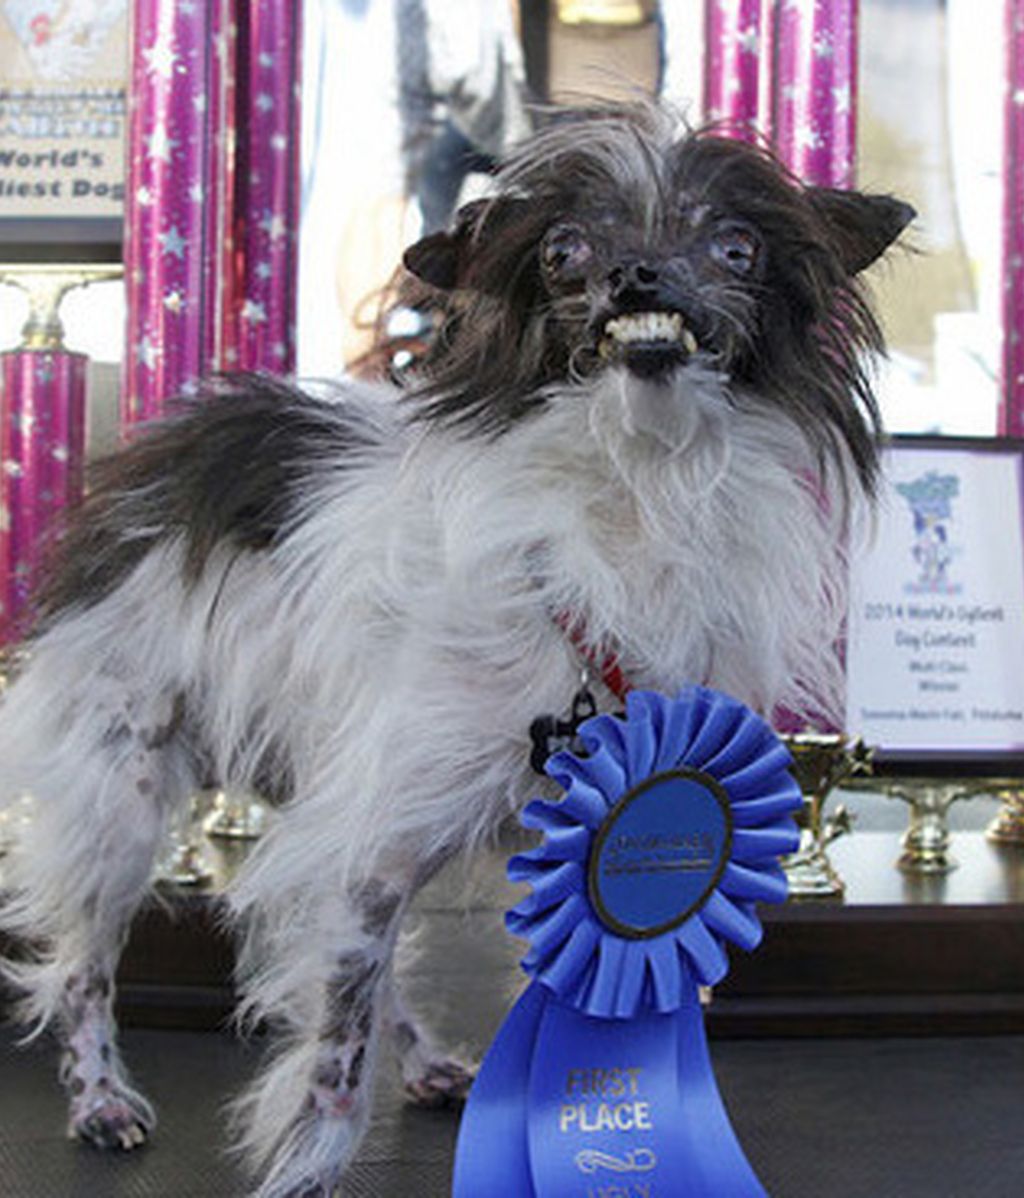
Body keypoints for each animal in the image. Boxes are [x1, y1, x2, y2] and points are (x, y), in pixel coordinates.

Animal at [0, 105, 915, 1198]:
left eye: (737, 246)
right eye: (563, 251)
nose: (638, 274)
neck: (633, 489)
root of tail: (156, 459)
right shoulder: (365, 844)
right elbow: (334, 1055)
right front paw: (305, 1168)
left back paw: (428, 1061)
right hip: (123, 796)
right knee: (84, 963)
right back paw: (101, 1097)